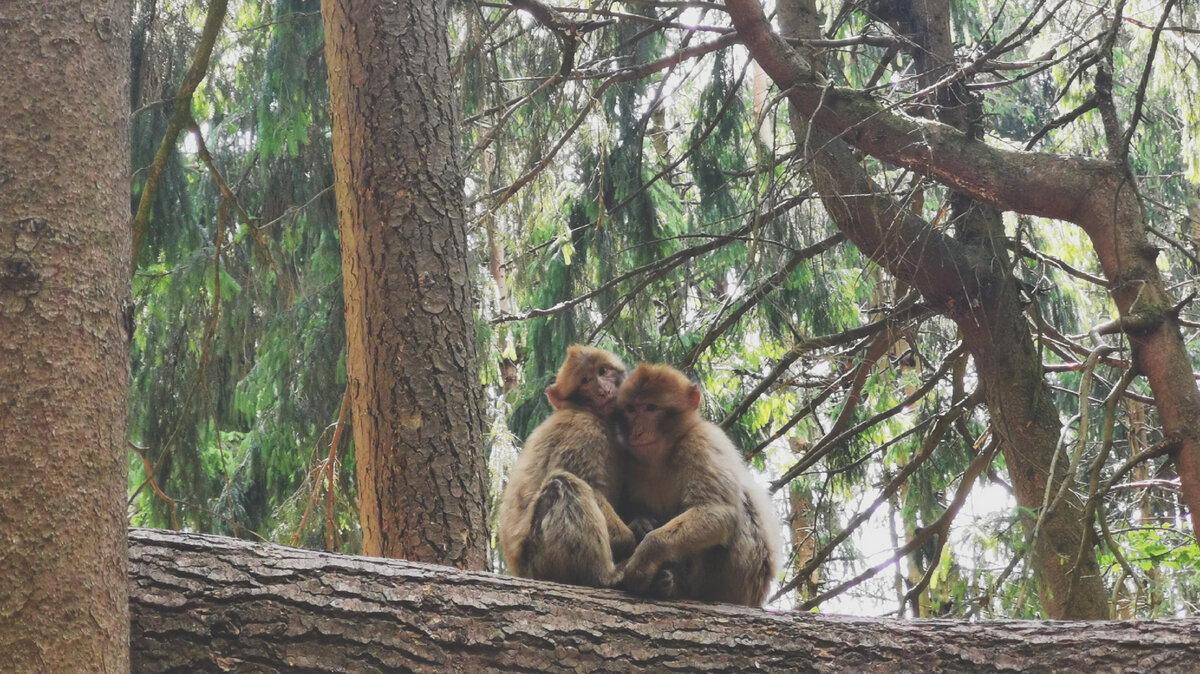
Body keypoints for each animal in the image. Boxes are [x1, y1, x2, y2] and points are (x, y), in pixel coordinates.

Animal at [496, 342, 638, 585]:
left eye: (602, 372)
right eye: (585, 381)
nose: (602, 390)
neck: (591, 412)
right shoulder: (583, 431)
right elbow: (591, 486)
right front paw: (631, 536)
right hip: (539, 557)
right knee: (563, 484)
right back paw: (604, 576)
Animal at [614, 362, 782, 604]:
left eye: (650, 407)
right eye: (631, 409)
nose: (638, 430)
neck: (662, 456)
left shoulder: (701, 441)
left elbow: (717, 510)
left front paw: (645, 556)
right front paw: (640, 523)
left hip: (741, 576)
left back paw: (672, 585)